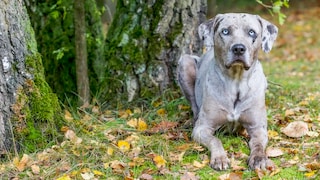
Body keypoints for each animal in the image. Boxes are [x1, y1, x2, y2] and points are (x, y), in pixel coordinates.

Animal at [178, 13, 278, 171]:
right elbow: (215, 140)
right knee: (194, 105)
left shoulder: (258, 128)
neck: (236, 82)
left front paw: (258, 158)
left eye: (251, 32)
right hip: (185, 62)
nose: (239, 48)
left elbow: (258, 144)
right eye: (225, 31)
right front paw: (219, 158)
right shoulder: (203, 128)